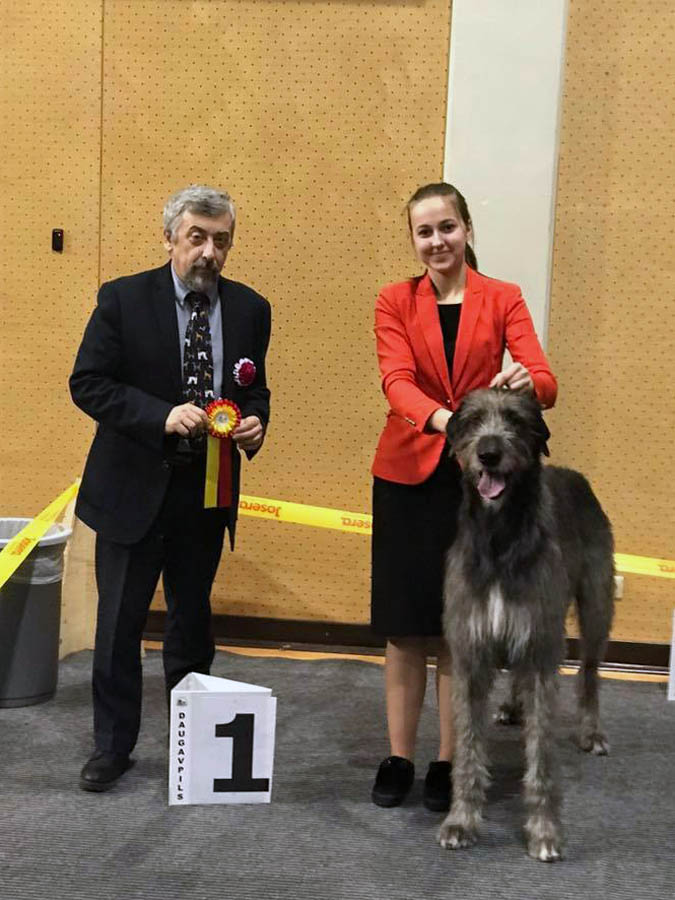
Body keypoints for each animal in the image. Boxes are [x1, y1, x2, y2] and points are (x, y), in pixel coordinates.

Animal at [438, 388, 616, 864]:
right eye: (472, 420)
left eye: (516, 421)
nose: (489, 453)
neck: (500, 537)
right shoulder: (471, 652)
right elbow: (468, 747)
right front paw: (461, 820)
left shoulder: (540, 651)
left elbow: (541, 757)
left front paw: (545, 830)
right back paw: (511, 706)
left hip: (596, 604)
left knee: (589, 674)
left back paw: (591, 732)